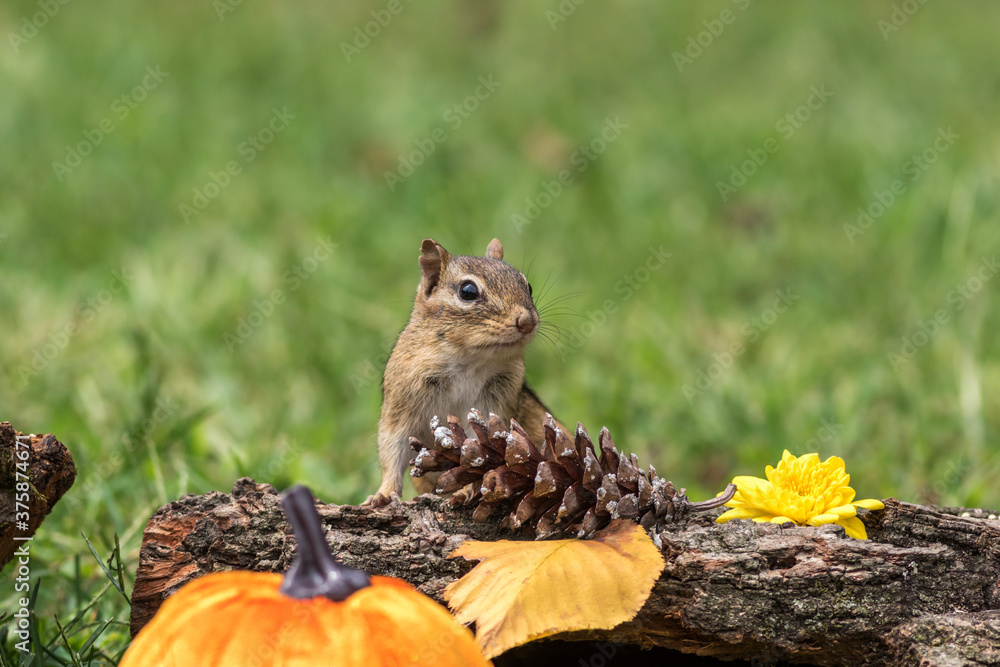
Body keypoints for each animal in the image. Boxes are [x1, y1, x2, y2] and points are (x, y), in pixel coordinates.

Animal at [364, 238, 564, 507]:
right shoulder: (400, 406)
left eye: (528, 286)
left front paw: (464, 491)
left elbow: (479, 451)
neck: (468, 361)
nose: (527, 322)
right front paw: (383, 494)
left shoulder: (494, 405)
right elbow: (392, 449)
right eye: (468, 291)